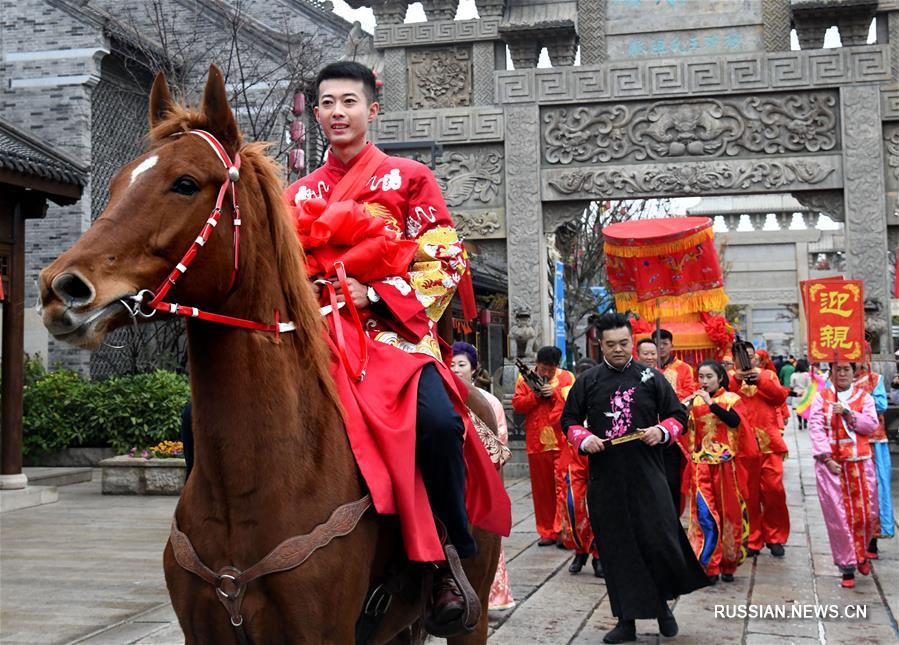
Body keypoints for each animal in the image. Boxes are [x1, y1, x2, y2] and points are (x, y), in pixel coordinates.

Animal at [38, 66, 502, 644]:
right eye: (120, 182)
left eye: (185, 183)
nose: (60, 289)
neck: (254, 482)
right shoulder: (203, 631)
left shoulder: (321, 631)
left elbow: (438, 255)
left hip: (472, 609)